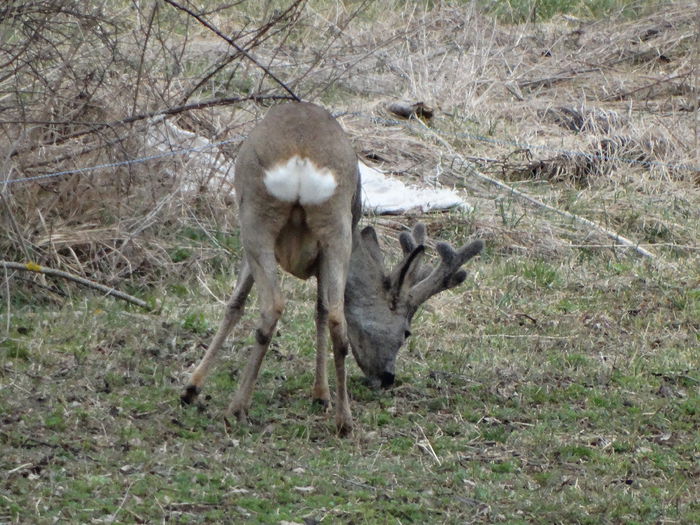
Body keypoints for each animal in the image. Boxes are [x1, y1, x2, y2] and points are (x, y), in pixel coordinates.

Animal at [180, 101, 484, 434]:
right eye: (407, 332)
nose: (388, 378)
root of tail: (302, 159)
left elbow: (236, 304)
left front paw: (192, 388)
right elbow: (321, 311)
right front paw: (322, 395)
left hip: (256, 219)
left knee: (272, 307)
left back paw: (237, 408)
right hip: (335, 228)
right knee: (337, 318)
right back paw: (344, 420)